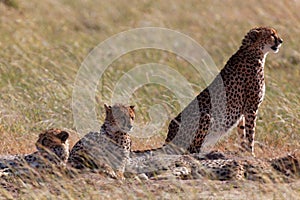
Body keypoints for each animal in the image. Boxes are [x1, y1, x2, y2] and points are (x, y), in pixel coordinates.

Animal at [158, 26, 282, 155]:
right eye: (272, 35)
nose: (281, 41)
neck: (254, 52)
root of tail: (167, 140)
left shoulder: (243, 110)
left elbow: (242, 132)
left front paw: (243, 151)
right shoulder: (251, 108)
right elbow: (250, 133)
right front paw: (251, 153)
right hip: (206, 116)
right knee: (191, 150)